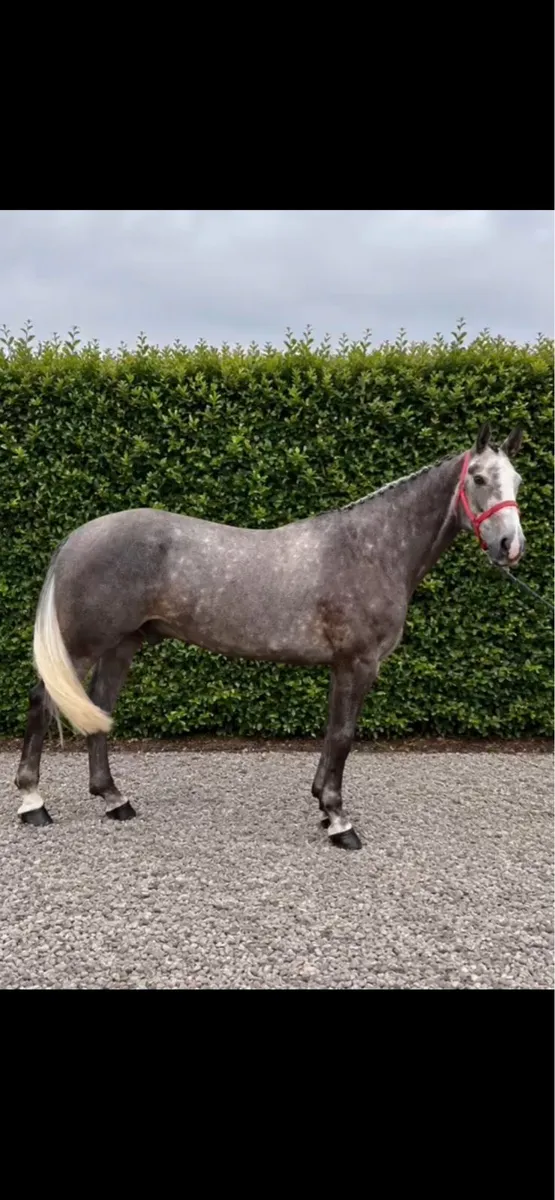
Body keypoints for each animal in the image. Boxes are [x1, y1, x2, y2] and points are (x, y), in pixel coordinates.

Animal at [14, 422, 525, 849]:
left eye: (517, 481)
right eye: (479, 478)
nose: (510, 546)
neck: (371, 549)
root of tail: (77, 537)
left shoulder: (341, 666)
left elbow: (331, 733)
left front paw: (323, 805)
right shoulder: (357, 663)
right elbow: (344, 735)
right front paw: (340, 821)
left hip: (123, 644)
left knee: (99, 707)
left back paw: (114, 799)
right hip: (82, 645)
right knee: (42, 701)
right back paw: (33, 803)